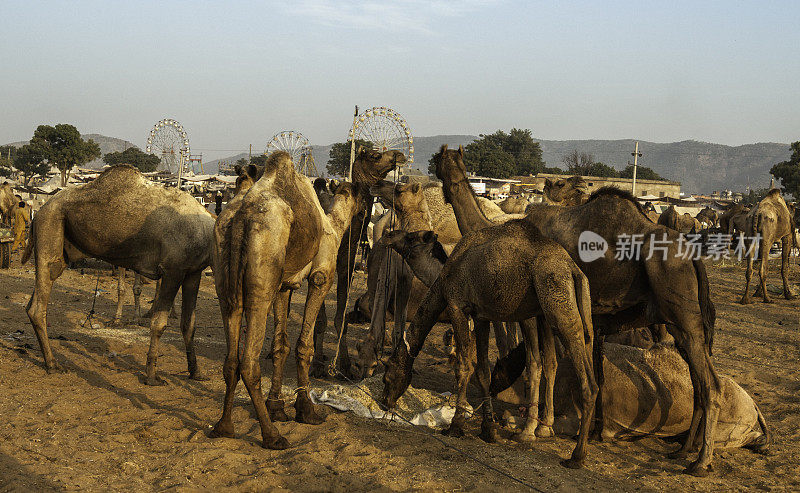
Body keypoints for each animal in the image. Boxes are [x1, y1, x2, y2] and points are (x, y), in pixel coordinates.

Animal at [22, 163, 216, 382]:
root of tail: (39, 212)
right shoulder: (172, 271)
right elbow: (159, 323)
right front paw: (151, 376)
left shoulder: (193, 272)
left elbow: (189, 324)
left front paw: (196, 372)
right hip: (50, 226)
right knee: (39, 303)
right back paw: (53, 364)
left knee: (33, 301)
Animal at [382, 217, 600, 468]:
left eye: (387, 375)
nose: (384, 400)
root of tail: (573, 269)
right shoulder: (481, 316)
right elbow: (483, 371)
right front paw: (488, 430)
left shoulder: (457, 306)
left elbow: (464, 367)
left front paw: (456, 426)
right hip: (578, 311)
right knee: (571, 357)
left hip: (557, 305)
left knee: (584, 382)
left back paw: (576, 455)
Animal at [416, 144, 720, 474]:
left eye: (440, 160)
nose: (432, 170)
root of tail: (693, 256)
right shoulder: (551, 314)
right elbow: (553, 362)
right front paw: (546, 425)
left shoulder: (533, 313)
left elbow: (538, 363)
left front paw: (531, 429)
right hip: (681, 323)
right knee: (699, 380)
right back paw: (683, 450)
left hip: (682, 316)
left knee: (710, 385)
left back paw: (701, 461)